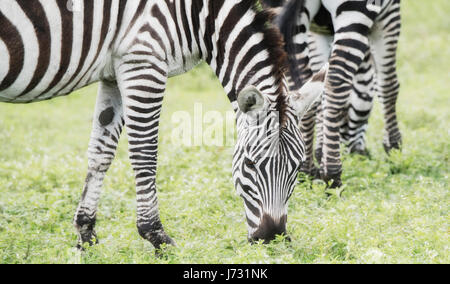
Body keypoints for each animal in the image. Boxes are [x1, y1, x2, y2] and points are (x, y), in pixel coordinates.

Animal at [0, 0, 326, 248]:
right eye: (249, 164)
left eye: (298, 167)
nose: (271, 238)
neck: (197, 15)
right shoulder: (143, 63)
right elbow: (145, 153)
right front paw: (155, 236)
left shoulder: (114, 71)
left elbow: (101, 154)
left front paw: (86, 234)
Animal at [264, 0, 400, 187]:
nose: (361, 155)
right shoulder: (389, 16)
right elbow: (388, 85)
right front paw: (394, 151)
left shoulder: (318, 33)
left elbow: (318, 92)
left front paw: (319, 155)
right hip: (354, 12)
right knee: (336, 83)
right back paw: (333, 176)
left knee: (301, 86)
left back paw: (306, 171)